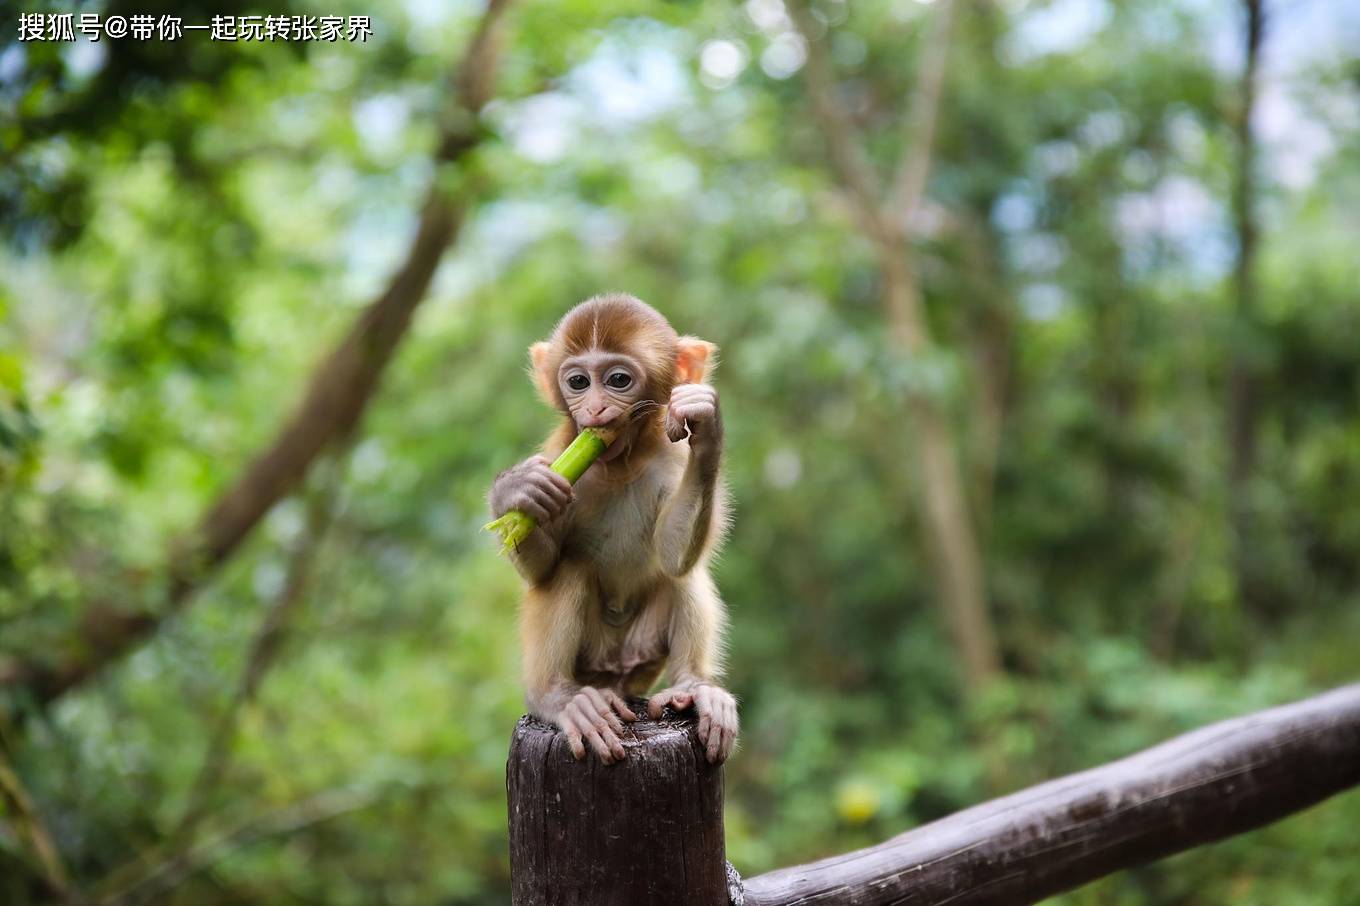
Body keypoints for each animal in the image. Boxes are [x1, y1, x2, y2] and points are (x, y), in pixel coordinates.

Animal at [492, 295, 739, 761]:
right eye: (578, 382)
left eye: (618, 380)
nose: (594, 410)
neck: (618, 464)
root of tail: (614, 676)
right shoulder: (560, 455)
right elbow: (543, 567)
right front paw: (515, 494)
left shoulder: (670, 458)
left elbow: (674, 555)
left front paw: (706, 426)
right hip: (591, 659)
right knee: (570, 569)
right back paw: (558, 697)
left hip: (643, 656)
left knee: (684, 574)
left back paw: (694, 687)